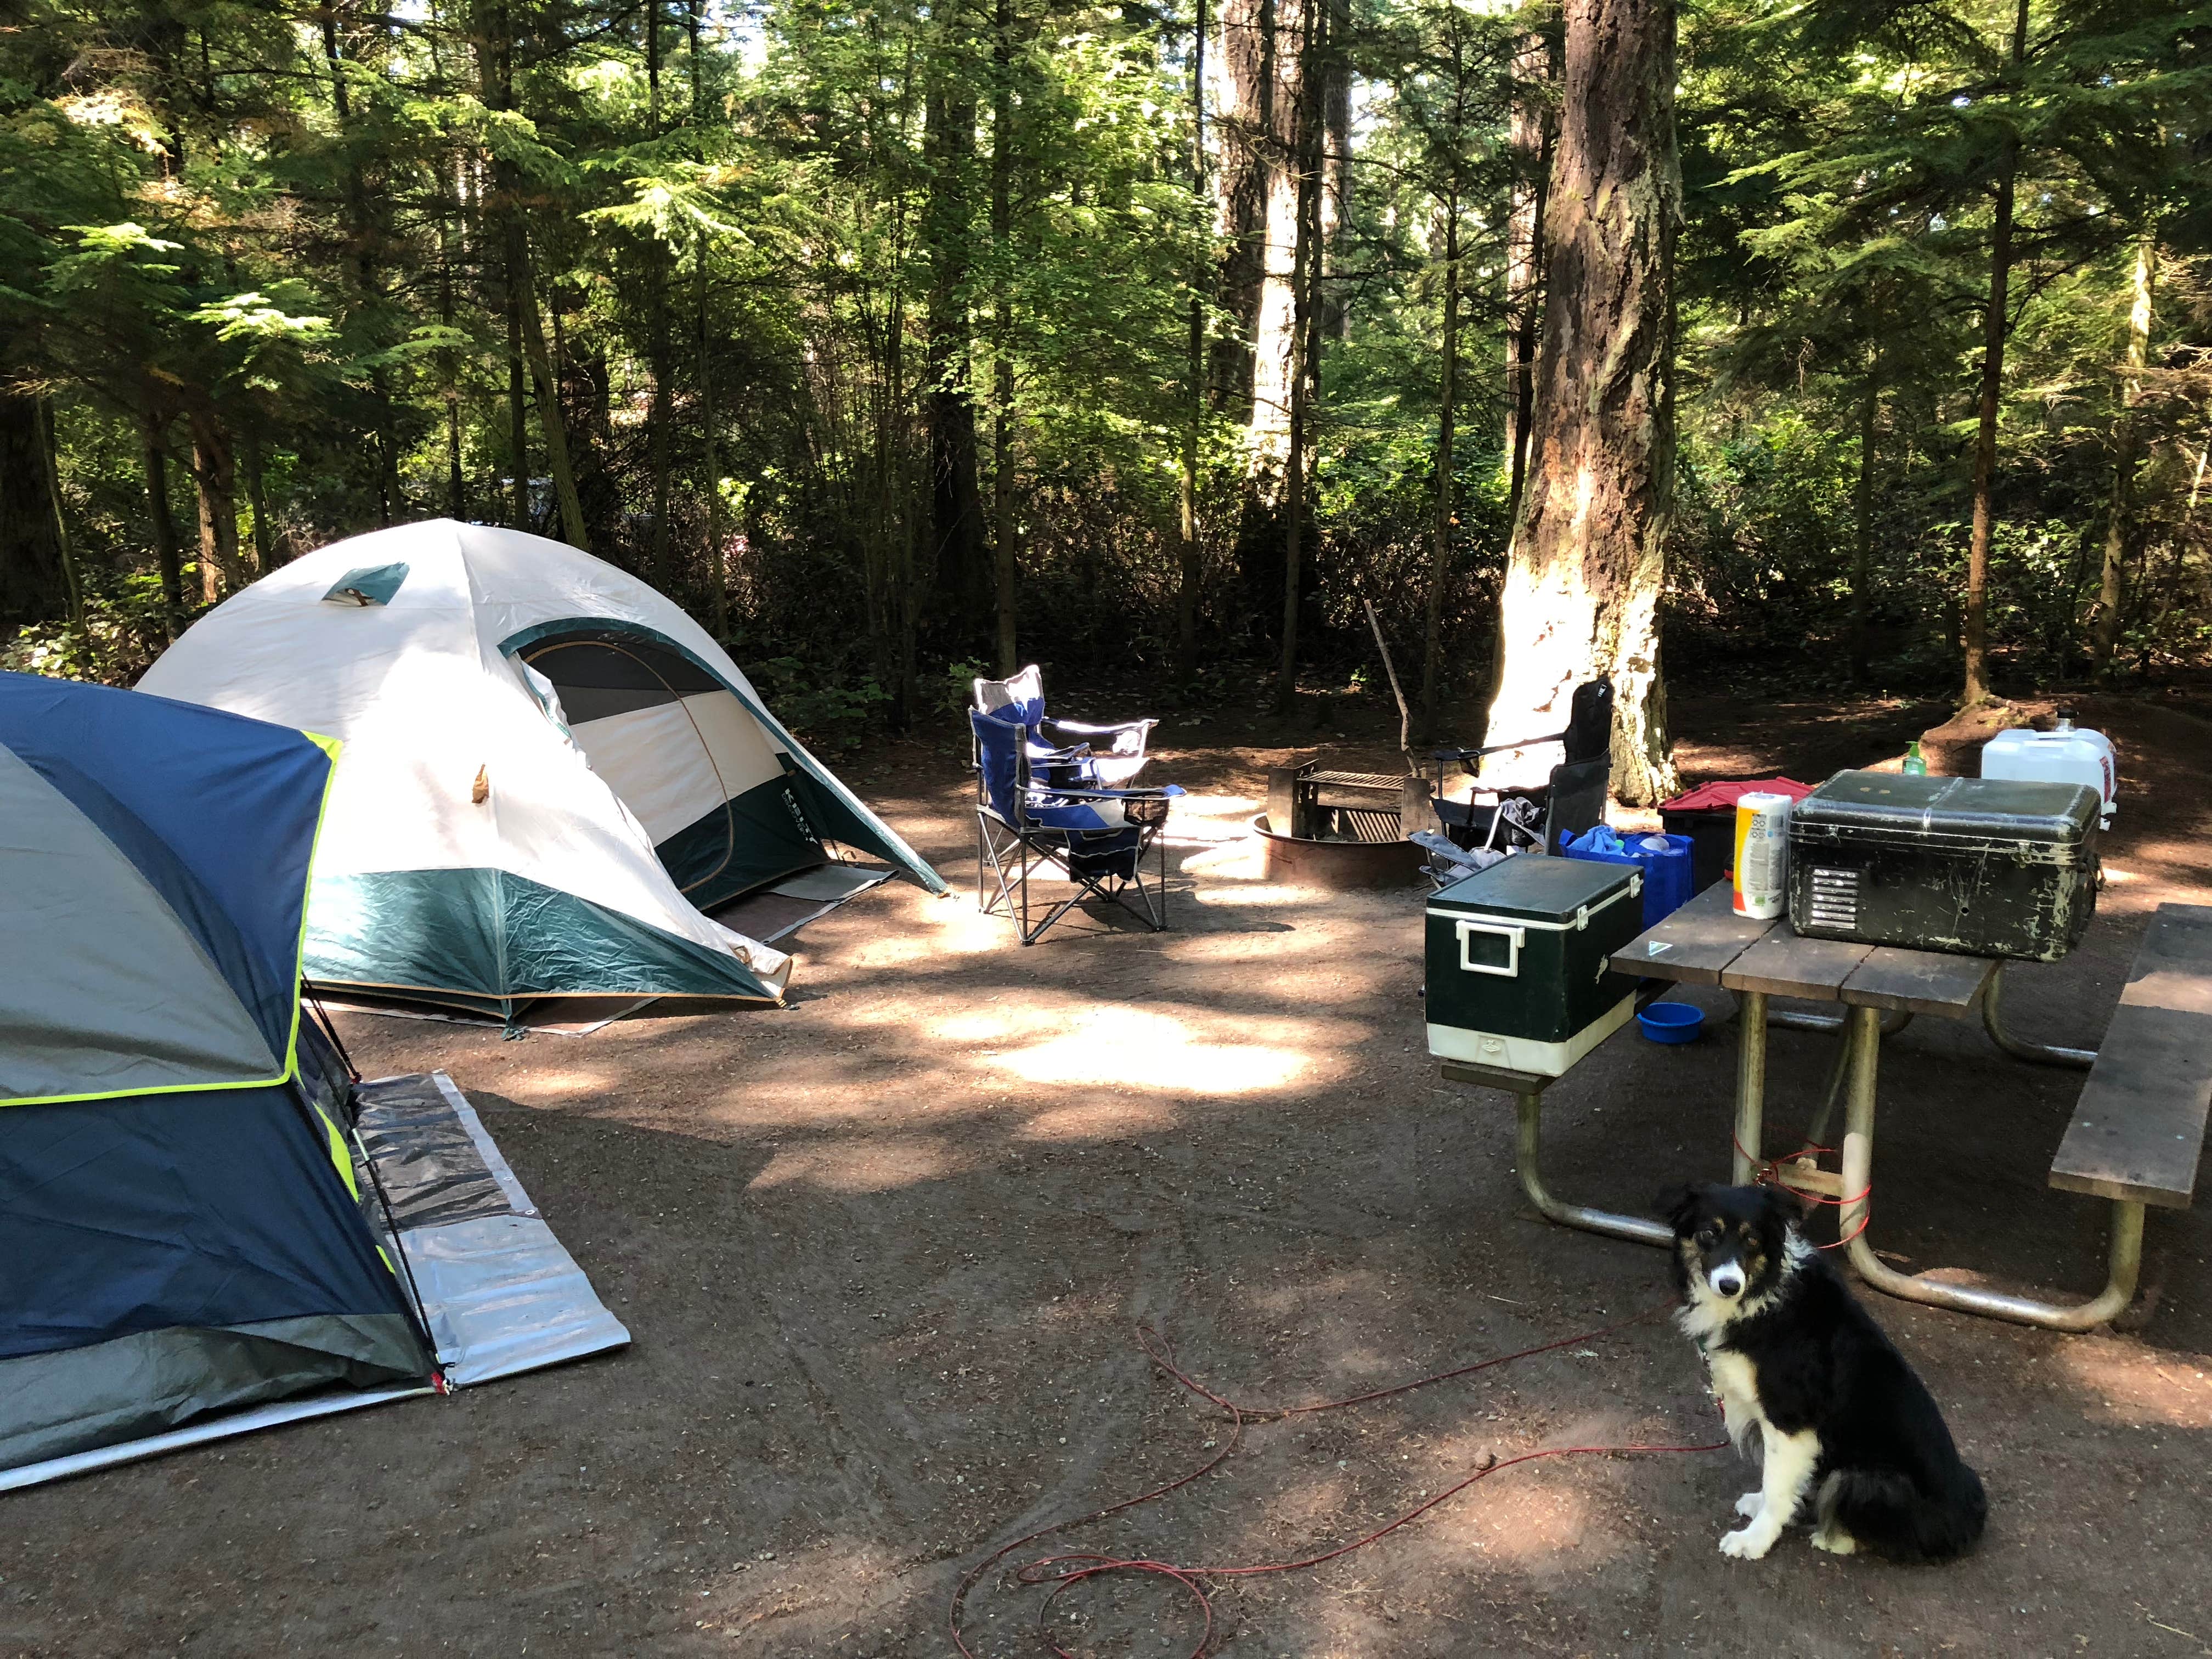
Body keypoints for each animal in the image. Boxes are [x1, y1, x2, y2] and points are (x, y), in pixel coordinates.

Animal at [1663, 1186, 1990, 1566]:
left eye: (1753, 1239)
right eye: (1708, 1233)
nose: (1730, 1285)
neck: (1760, 1295)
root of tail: (1965, 1522)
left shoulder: (1791, 1417)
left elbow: (1777, 1486)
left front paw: (1755, 1541)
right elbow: (1780, 1481)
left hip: (1863, 1479)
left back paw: (1832, 1538)